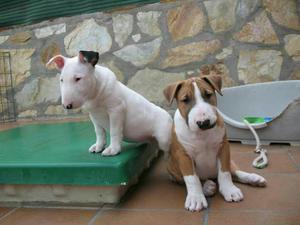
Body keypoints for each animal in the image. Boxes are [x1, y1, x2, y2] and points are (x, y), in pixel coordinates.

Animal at [164, 75, 268, 211]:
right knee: (191, 179)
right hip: (172, 167)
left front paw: (229, 190)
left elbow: (225, 173)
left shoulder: (223, 148)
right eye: (185, 100)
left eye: (208, 94)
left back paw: (253, 178)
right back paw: (207, 187)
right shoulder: (183, 155)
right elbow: (192, 178)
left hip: (230, 161)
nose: (204, 122)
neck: (202, 134)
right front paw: (196, 198)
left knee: (234, 172)